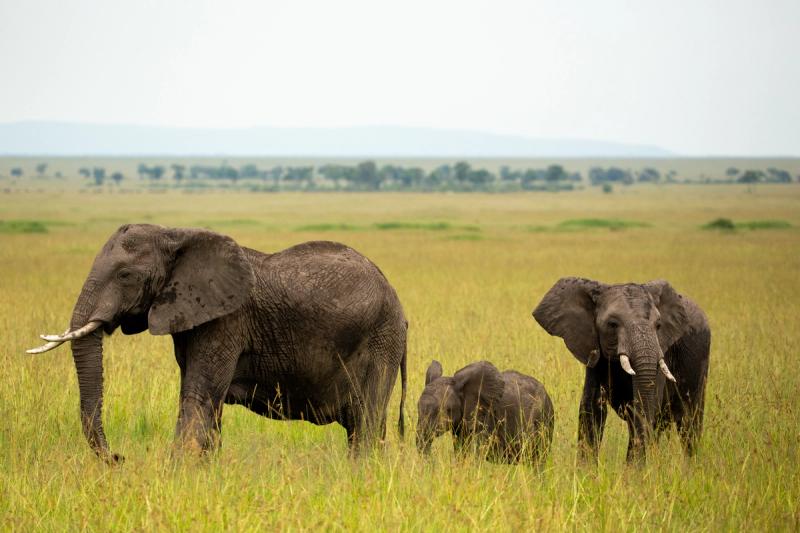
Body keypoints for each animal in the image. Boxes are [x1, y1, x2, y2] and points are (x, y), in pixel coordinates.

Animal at [27, 224, 408, 461]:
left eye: (125, 275)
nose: (119, 457)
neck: (176, 234)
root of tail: (399, 305)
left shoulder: (225, 322)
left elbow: (198, 397)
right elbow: (207, 405)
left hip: (381, 340)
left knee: (366, 423)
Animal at [533, 277, 710, 463]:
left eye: (658, 325)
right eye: (612, 324)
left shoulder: (662, 351)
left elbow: (644, 410)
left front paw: (632, 470)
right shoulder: (594, 353)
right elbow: (591, 409)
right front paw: (586, 469)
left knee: (689, 421)